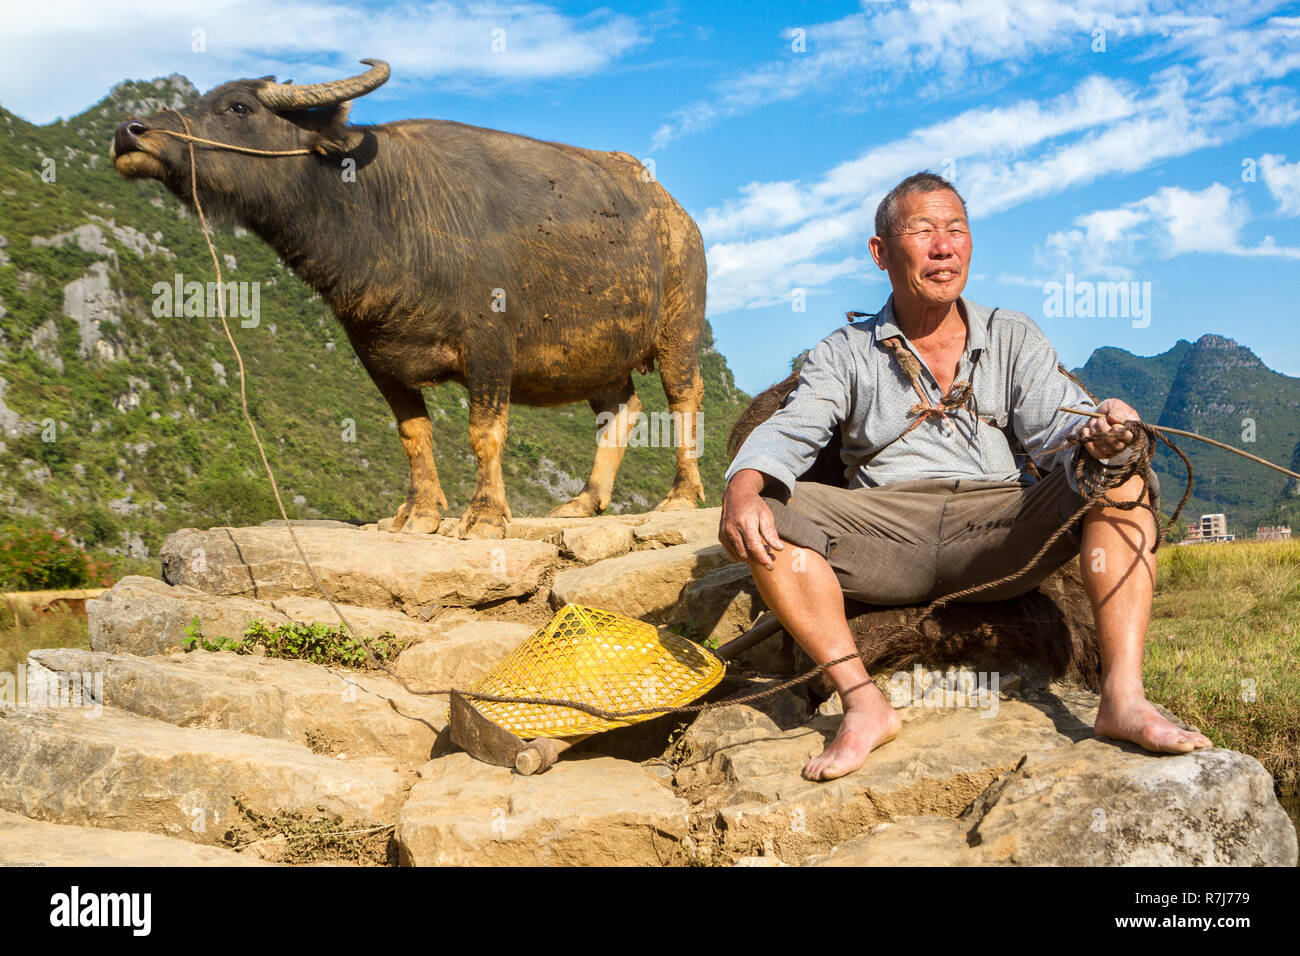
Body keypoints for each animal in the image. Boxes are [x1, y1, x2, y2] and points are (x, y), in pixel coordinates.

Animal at [109, 59, 712, 538]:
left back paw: (681, 495)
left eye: (237, 106)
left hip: (678, 328)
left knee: (683, 398)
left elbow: (484, 433)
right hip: (600, 356)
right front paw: (419, 513)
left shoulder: (491, 347)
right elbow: (413, 435)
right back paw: (584, 502)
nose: (130, 131)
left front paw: (485, 515)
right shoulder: (376, 355)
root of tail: (677, 213)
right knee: (620, 411)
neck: (389, 214)